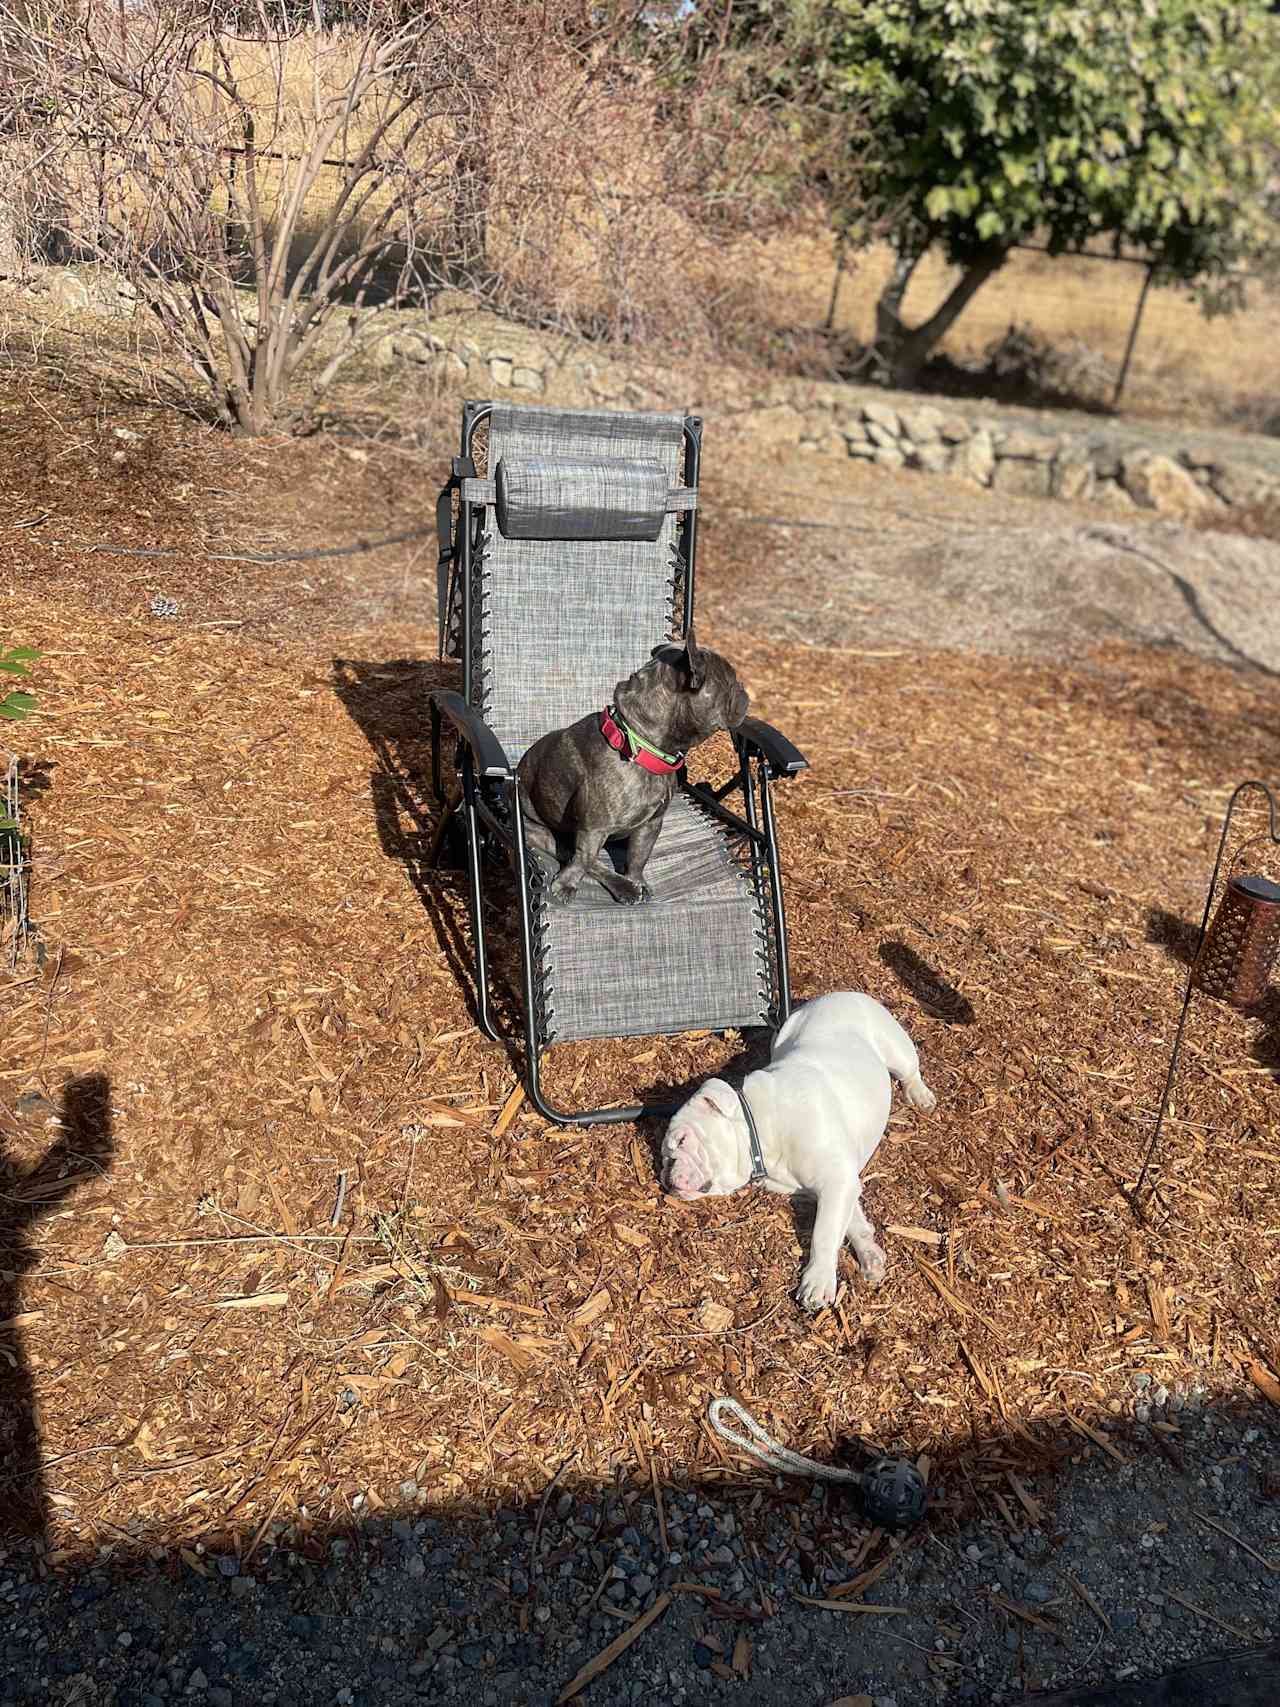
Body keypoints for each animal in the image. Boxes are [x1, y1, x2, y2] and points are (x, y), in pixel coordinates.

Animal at [665, 990, 935, 1304]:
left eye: (682, 1140)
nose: (665, 1171)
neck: (759, 1127)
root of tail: (841, 994)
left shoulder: (836, 1179)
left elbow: (824, 1232)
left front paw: (817, 1280)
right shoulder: (836, 1185)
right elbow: (849, 1220)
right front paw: (868, 1252)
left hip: (895, 1049)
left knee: (909, 1070)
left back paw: (919, 1093)